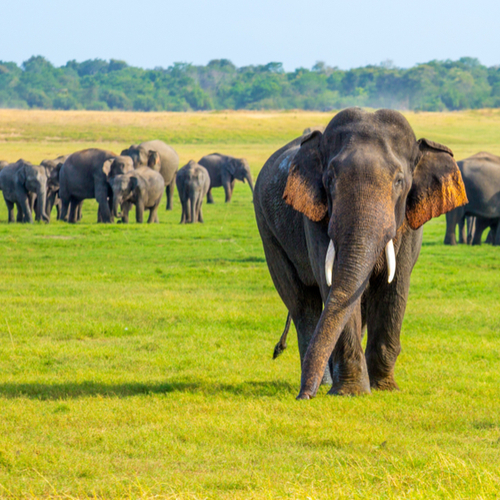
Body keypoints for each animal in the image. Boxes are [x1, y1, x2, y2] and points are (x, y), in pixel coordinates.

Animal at [254, 107, 468, 400]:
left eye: (399, 181)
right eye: (329, 179)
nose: (302, 396)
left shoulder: (408, 222)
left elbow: (395, 287)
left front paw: (384, 388)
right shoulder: (316, 216)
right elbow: (332, 285)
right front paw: (351, 392)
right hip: (268, 232)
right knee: (302, 303)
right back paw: (323, 384)